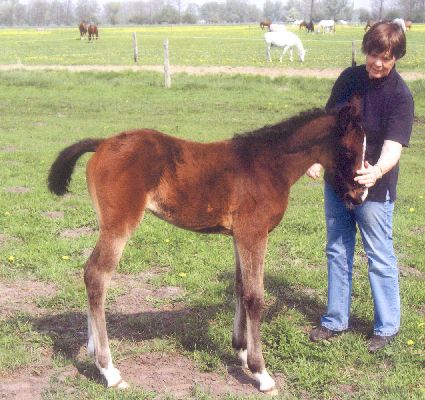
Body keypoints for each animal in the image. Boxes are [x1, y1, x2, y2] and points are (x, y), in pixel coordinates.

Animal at [48, 96, 366, 394]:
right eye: (350, 150)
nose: (360, 194)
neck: (267, 165)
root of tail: (102, 143)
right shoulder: (254, 233)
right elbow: (255, 296)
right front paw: (261, 373)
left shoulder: (239, 236)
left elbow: (240, 287)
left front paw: (241, 350)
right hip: (118, 226)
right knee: (97, 275)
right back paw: (109, 370)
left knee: (89, 274)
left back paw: (92, 351)